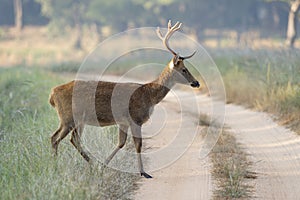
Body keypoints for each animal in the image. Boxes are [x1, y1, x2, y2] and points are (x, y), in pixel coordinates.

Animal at [48, 21, 199, 179]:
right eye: (184, 70)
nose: (196, 83)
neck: (149, 96)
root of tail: (52, 95)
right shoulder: (135, 118)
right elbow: (138, 145)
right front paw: (143, 172)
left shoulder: (123, 122)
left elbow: (121, 143)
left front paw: (104, 165)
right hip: (70, 117)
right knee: (65, 138)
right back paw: (80, 164)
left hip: (68, 119)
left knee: (58, 137)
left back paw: (61, 165)